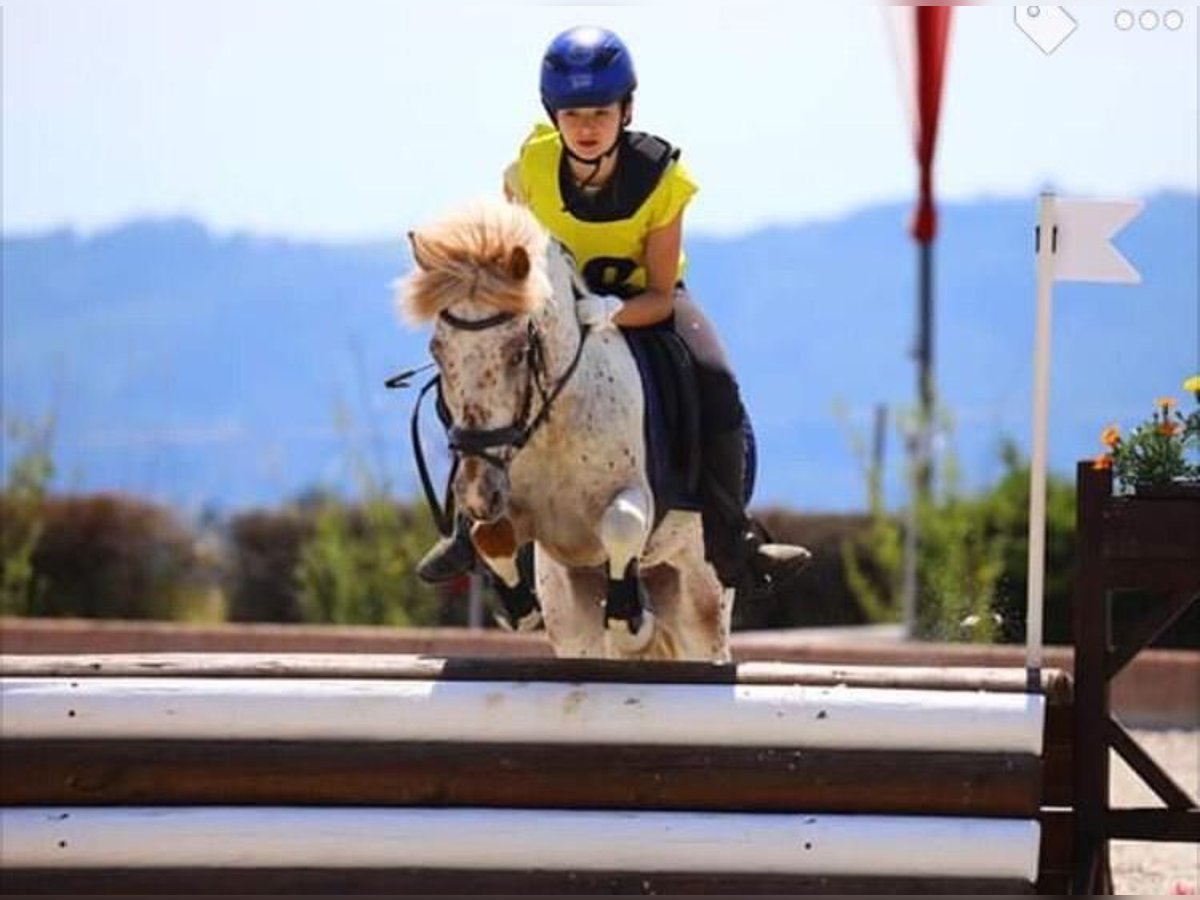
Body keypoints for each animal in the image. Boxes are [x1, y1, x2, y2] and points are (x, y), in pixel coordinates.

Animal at [398, 199, 724, 662]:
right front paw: (520, 611)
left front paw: (633, 623)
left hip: (701, 594)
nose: (478, 493)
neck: (556, 421)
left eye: (518, 352)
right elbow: (489, 535)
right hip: (574, 618)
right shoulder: (520, 512)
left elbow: (621, 523)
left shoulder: (637, 497)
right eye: (438, 352)